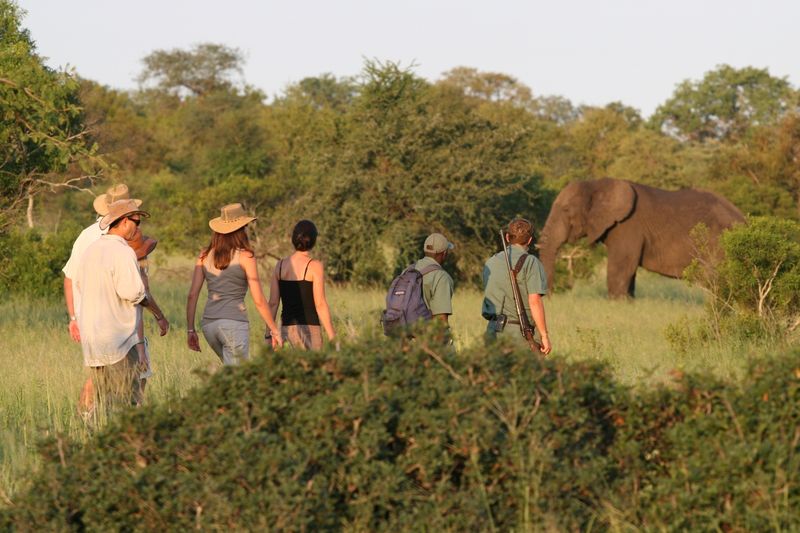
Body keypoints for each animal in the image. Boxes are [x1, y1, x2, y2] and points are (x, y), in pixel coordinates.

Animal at [537, 178, 745, 298]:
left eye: (566, 210)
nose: (548, 297)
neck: (597, 183)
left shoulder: (628, 227)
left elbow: (621, 268)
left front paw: (617, 305)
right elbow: (629, 272)